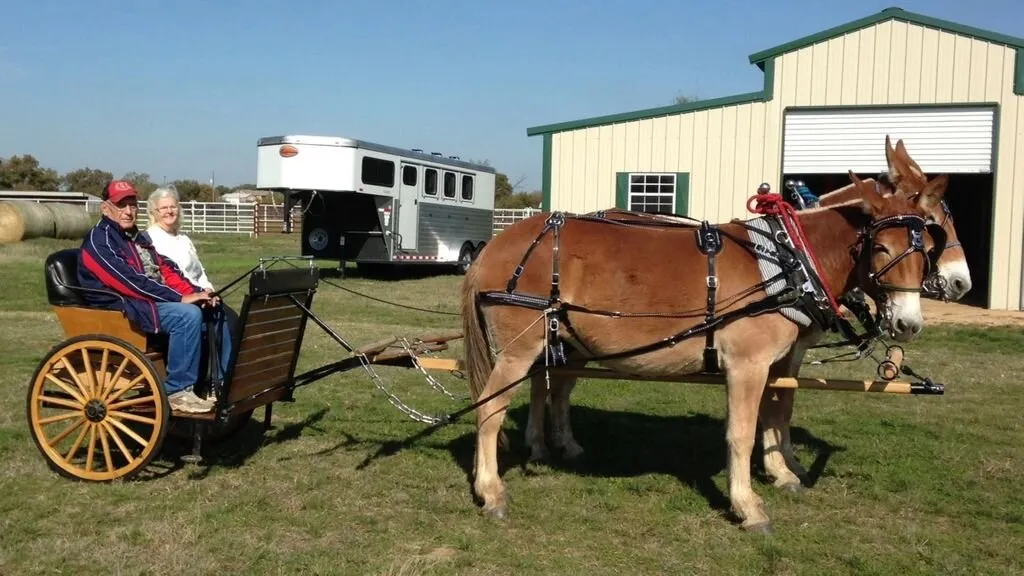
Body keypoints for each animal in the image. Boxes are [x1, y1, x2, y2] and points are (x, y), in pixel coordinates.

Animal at [460, 158, 947, 532]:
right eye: (880, 248)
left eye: (926, 246)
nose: (907, 323)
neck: (788, 260)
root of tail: (495, 247)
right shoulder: (747, 364)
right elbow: (742, 434)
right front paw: (748, 506)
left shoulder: (775, 364)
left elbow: (776, 416)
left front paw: (780, 473)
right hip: (518, 349)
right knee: (490, 410)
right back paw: (491, 491)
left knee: (548, 389)